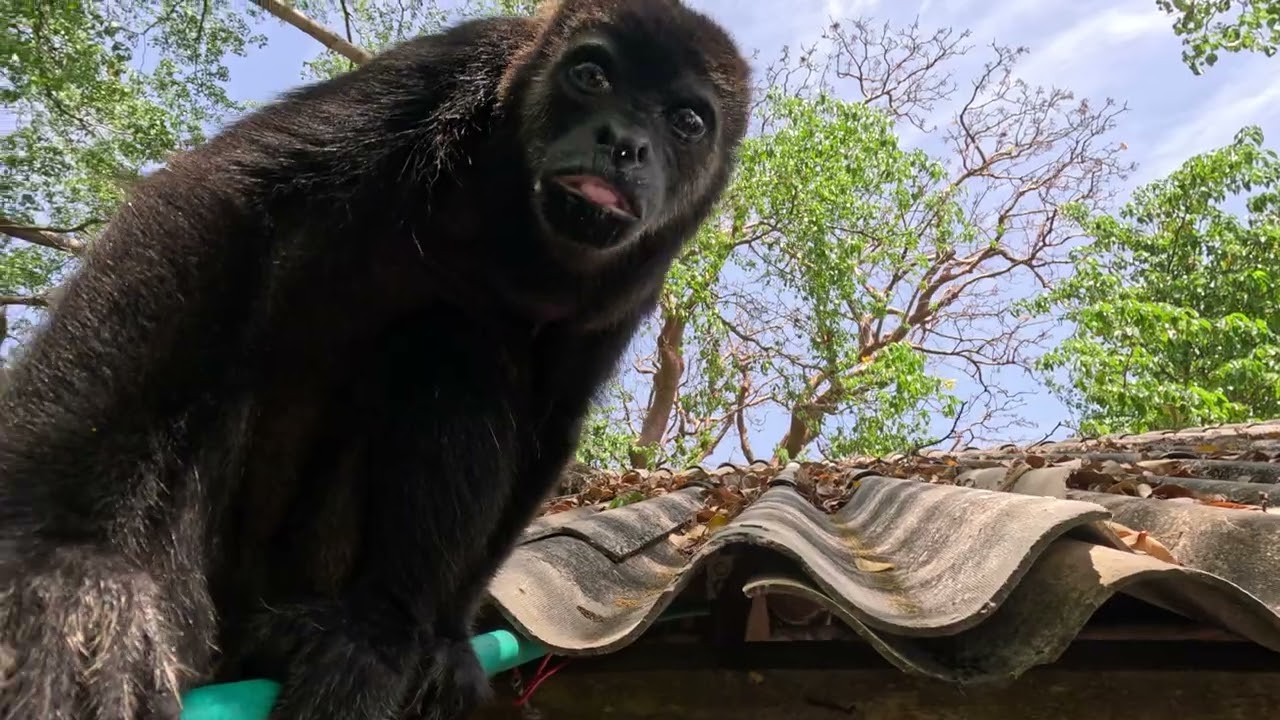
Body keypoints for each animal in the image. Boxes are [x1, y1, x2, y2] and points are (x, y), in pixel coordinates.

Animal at [0, 0, 750, 718]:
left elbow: (552, 417)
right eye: (591, 75)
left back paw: (378, 626)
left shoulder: (638, 283)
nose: (622, 143)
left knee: (458, 351)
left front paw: (446, 634)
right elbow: (217, 197)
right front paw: (69, 566)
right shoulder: (452, 68)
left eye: (687, 121)